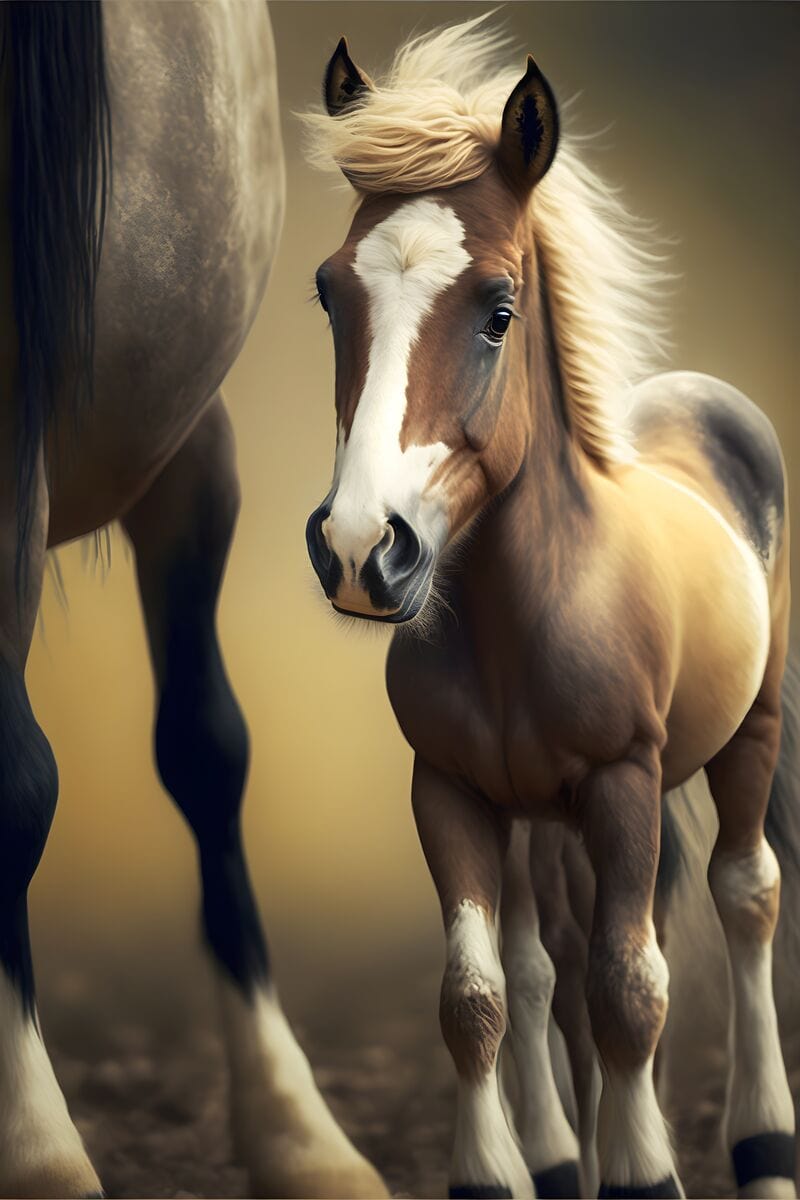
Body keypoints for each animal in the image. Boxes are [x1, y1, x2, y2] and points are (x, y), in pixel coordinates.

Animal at [304, 16, 797, 1199]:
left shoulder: (623, 783)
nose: (359, 549)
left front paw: (645, 1171)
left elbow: (631, 990)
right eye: (329, 292)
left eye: (498, 311)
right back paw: (568, 1148)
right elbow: (480, 995)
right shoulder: (450, 791)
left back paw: (762, 1146)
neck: (522, 608)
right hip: (540, 818)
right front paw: (509, 1167)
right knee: (554, 960)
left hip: (743, 734)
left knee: (741, 897)